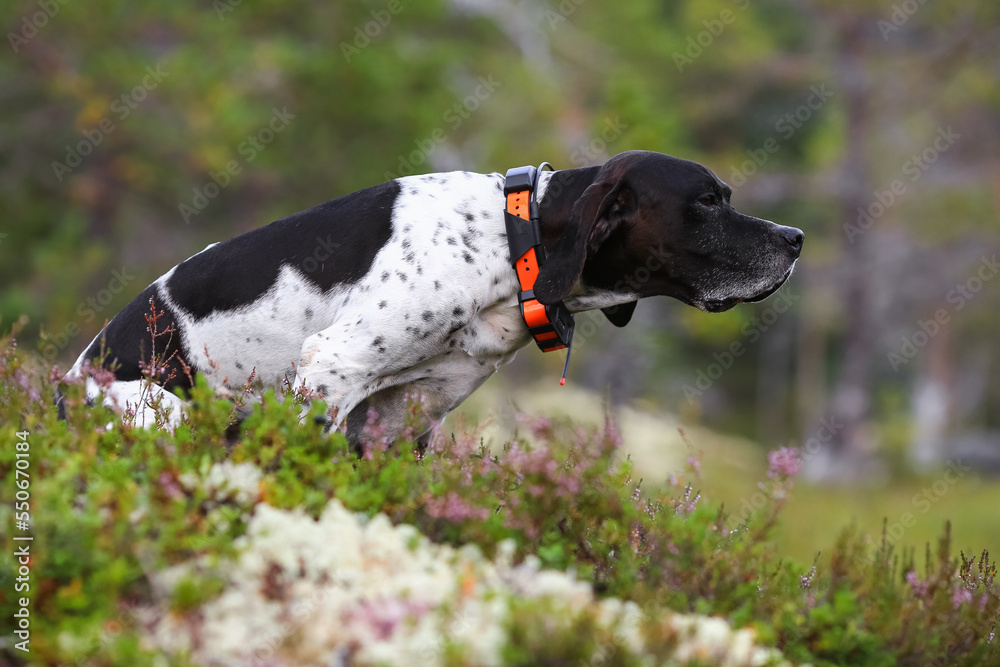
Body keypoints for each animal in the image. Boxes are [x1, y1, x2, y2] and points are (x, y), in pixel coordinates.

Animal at [66, 151, 804, 448]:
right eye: (707, 201)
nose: (796, 238)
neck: (508, 243)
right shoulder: (333, 368)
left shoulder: (402, 418)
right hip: (165, 410)